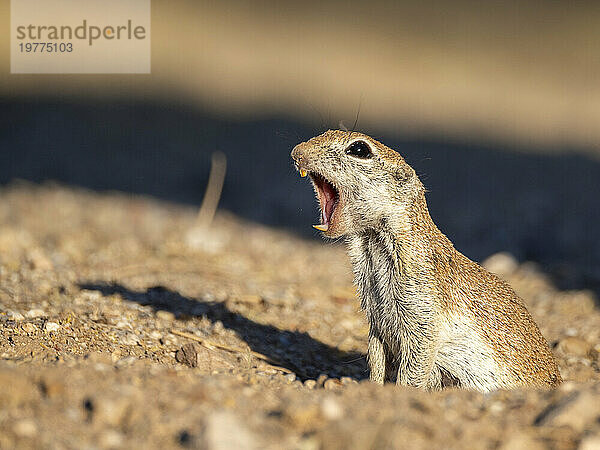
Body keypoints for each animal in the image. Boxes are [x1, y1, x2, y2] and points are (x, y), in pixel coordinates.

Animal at [290, 129, 564, 390]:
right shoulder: (376, 320)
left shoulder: (423, 310)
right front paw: (371, 387)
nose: (296, 152)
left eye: (359, 149)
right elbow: (376, 360)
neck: (372, 244)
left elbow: (415, 364)